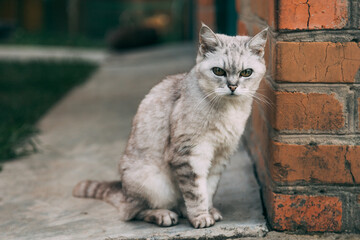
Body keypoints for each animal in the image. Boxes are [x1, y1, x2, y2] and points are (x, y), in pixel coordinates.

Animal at [73, 24, 268, 229]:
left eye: (246, 72)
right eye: (218, 71)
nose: (232, 86)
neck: (229, 110)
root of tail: (124, 193)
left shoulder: (220, 156)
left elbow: (209, 188)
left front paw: (208, 211)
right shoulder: (189, 154)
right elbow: (196, 192)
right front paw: (200, 217)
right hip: (153, 183)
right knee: (132, 212)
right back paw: (163, 215)